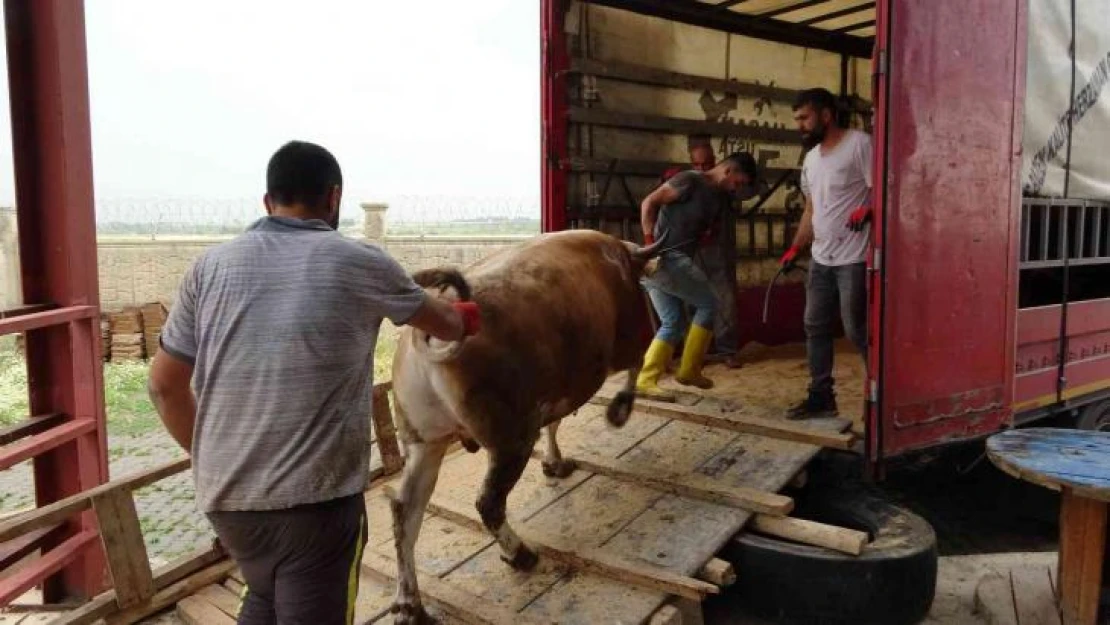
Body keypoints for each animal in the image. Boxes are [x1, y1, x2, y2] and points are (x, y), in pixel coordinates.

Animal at [390, 229, 666, 625]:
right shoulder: (628, 341)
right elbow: (635, 368)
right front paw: (619, 411)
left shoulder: (557, 387)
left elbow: (556, 422)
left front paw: (554, 463)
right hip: (510, 439)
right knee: (488, 502)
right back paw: (520, 555)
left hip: (424, 444)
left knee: (405, 513)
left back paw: (411, 604)